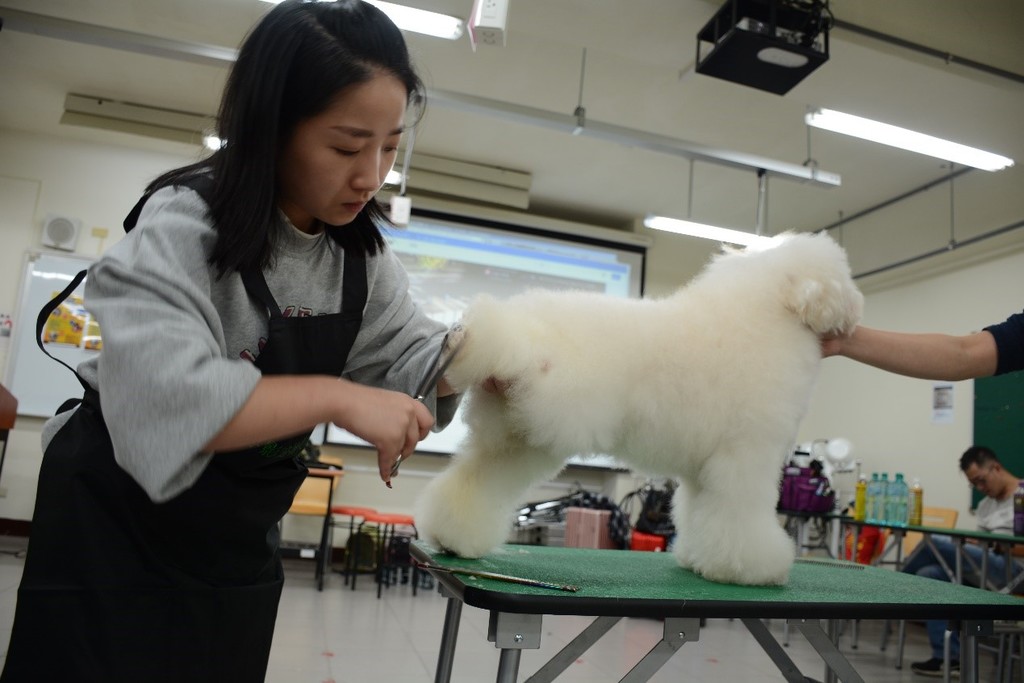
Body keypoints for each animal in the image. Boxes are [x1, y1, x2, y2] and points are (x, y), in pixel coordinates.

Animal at [415, 232, 864, 585]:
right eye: (841, 275)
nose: (856, 308)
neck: (763, 318)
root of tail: (510, 335)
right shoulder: (745, 457)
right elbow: (740, 517)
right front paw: (750, 569)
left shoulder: (704, 471)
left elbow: (698, 513)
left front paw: (697, 559)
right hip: (539, 434)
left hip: (515, 437)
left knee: (471, 482)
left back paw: (455, 539)